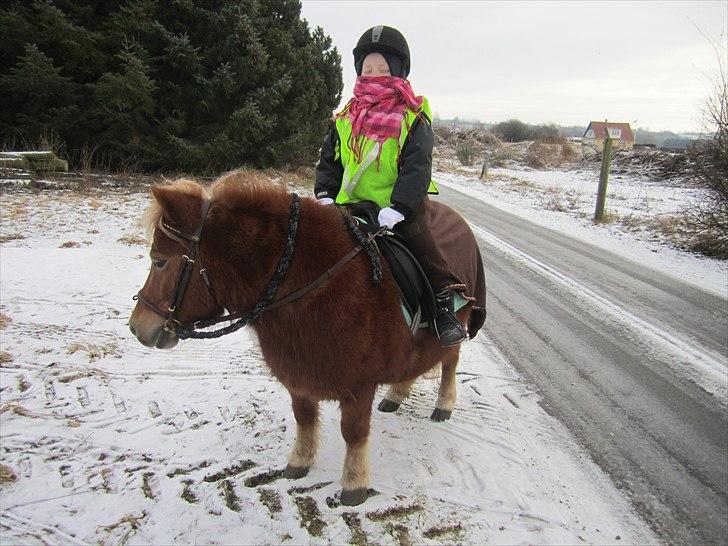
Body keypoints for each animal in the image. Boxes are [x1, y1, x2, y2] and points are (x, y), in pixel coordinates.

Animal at [129, 170, 474, 506]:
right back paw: (396, 395)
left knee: (449, 363)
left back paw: (444, 404)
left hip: (454, 331)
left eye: (159, 260)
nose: (136, 327)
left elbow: (353, 433)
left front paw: (354, 484)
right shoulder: (298, 375)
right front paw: (299, 462)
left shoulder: (359, 385)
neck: (314, 282)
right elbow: (304, 419)